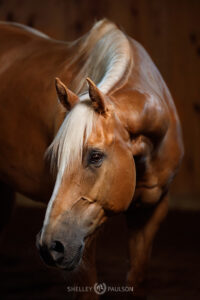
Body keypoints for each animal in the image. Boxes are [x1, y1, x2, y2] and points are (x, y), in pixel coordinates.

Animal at [0, 19, 183, 296]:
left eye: (95, 156)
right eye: (56, 159)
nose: (49, 246)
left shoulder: (150, 213)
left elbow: (137, 278)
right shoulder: (83, 237)